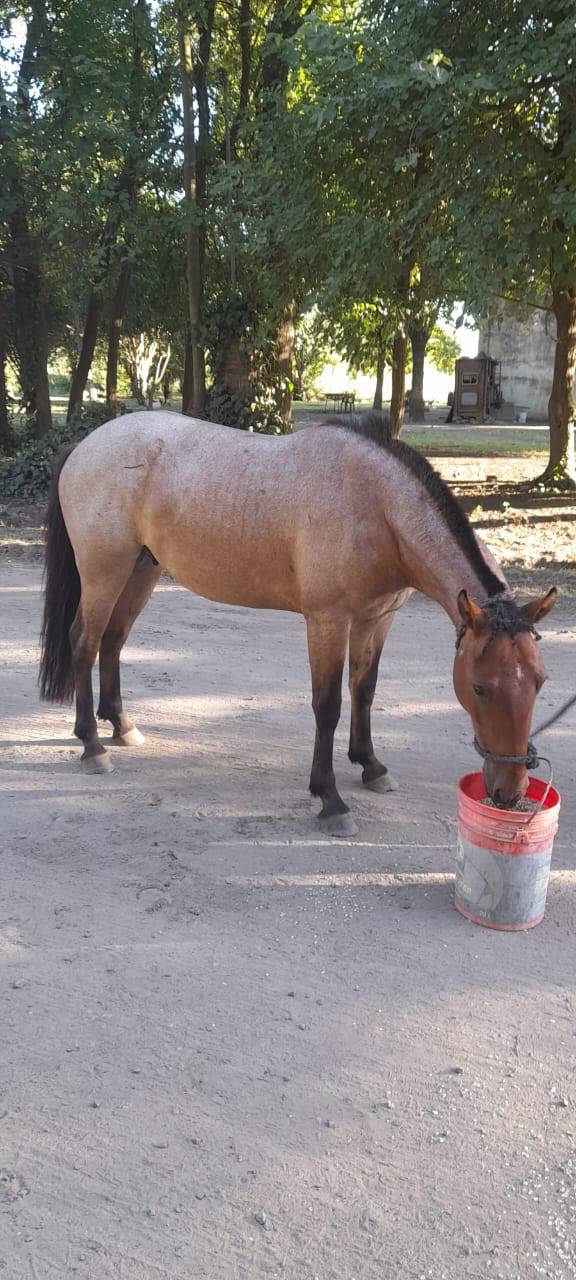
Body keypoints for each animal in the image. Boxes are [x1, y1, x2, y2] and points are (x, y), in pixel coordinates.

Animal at [38, 409, 555, 829]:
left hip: (142, 570)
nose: (509, 792)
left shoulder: (377, 619)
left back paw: (122, 726)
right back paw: (93, 746)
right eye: (480, 688)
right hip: (105, 572)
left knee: (113, 640)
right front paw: (330, 800)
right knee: (85, 643)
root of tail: (84, 446)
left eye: (539, 682)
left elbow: (364, 691)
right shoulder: (328, 620)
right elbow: (327, 706)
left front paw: (370, 766)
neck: (377, 506)